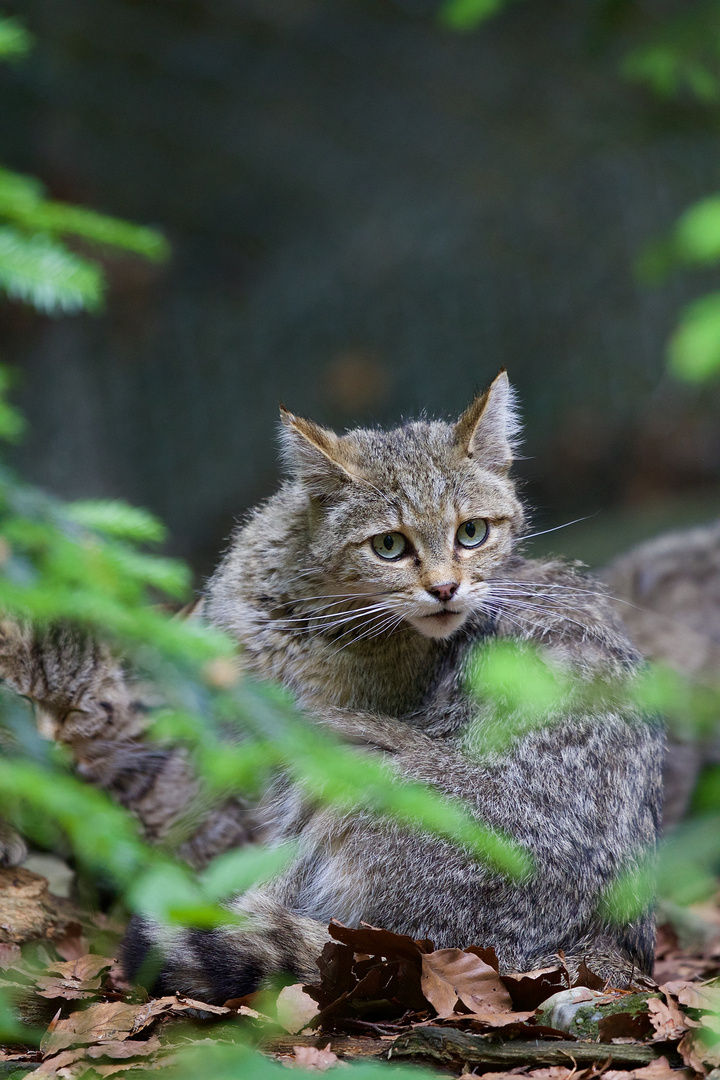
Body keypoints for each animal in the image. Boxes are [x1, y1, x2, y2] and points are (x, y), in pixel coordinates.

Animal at [0, 373, 664, 1002]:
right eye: (389, 545)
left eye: (472, 533)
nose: (446, 589)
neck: (305, 620)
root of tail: (601, 949)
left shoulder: (296, 757)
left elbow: (271, 869)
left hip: (359, 762)